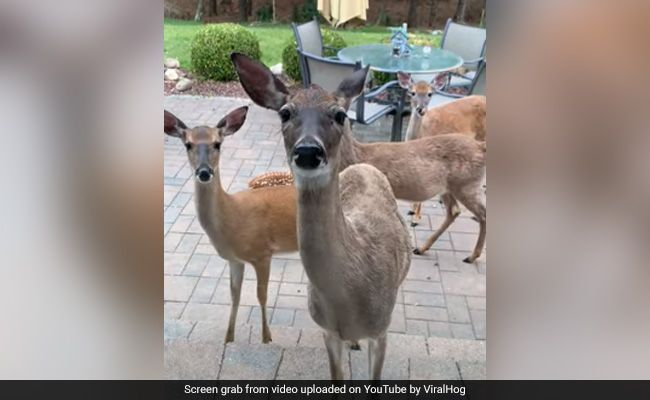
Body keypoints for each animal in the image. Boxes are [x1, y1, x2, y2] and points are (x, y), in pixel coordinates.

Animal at [163, 107, 299, 345]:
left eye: (217, 143)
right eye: (187, 144)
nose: (204, 172)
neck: (233, 217)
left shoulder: (263, 253)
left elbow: (261, 295)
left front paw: (267, 338)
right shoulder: (234, 259)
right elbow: (234, 295)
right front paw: (229, 338)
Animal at [232, 52, 412, 380]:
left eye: (340, 115)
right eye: (285, 113)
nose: (307, 150)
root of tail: (361, 166)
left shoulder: (382, 330)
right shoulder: (327, 331)